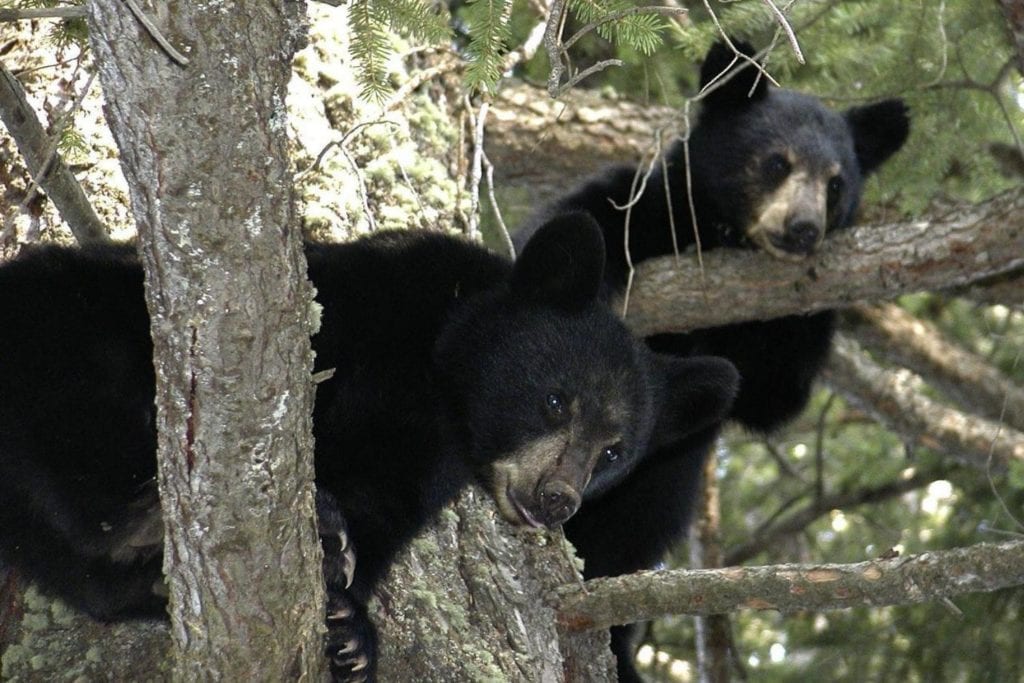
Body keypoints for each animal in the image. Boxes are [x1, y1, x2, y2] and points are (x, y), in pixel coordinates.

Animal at [0, 213, 739, 682]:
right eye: (557, 400)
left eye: (614, 451)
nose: (557, 499)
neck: (442, 377)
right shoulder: (362, 309)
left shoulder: (424, 458)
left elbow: (381, 509)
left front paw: (351, 632)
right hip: (68, 321)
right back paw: (142, 516)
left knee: (89, 580)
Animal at [517, 41, 911, 681]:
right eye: (776, 163)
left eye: (836, 184)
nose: (803, 230)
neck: (725, 234)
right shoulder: (646, 204)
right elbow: (566, 233)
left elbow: (774, 394)